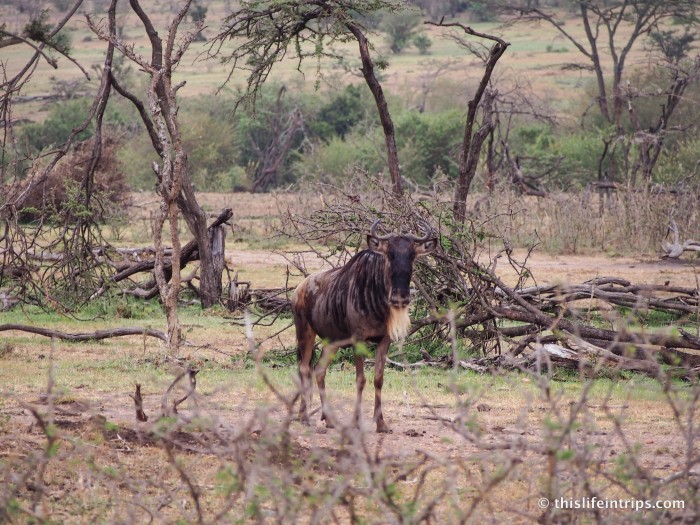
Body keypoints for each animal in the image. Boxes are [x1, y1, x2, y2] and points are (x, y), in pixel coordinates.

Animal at [291, 220, 436, 432]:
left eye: (412, 255)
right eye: (390, 254)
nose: (400, 298)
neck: (377, 296)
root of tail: (300, 287)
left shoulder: (384, 340)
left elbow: (378, 379)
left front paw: (381, 423)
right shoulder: (358, 339)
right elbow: (360, 379)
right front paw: (355, 422)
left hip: (332, 343)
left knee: (319, 371)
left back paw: (329, 419)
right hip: (305, 333)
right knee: (304, 369)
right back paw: (303, 417)